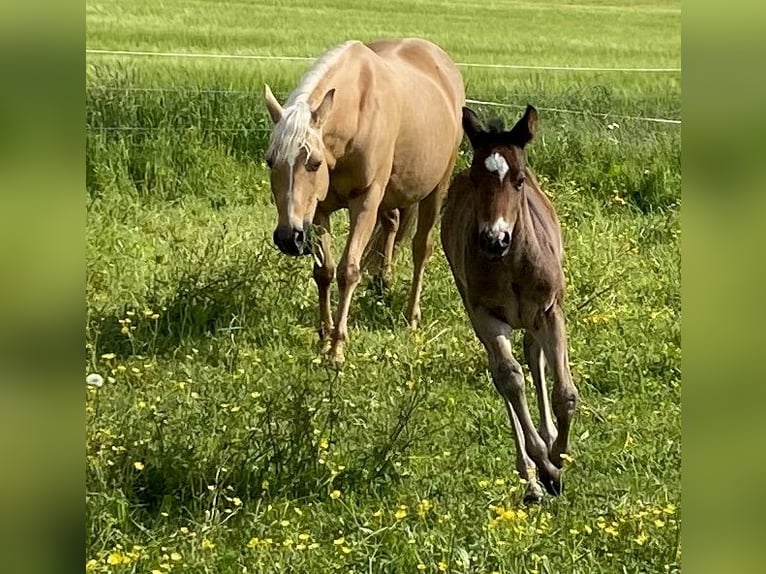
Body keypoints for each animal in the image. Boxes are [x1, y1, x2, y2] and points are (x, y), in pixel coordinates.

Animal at [264, 38, 468, 362]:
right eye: (270, 161)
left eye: (314, 163)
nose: (289, 238)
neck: (357, 115)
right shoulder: (318, 211)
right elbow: (324, 272)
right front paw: (324, 338)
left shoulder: (365, 202)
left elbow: (348, 271)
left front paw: (337, 348)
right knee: (392, 224)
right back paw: (383, 282)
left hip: (437, 188)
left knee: (421, 248)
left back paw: (411, 316)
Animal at [440, 107, 580, 504]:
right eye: (476, 179)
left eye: (519, 181)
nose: (494, 239)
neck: (512, 265)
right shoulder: (486, 316)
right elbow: (510, 380)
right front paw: (546, 470)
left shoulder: (550, 310)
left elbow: (565, 393)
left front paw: (558, 454)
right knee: (501, 373)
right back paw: (531, 480)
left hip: (533, 319)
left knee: (535, 355)